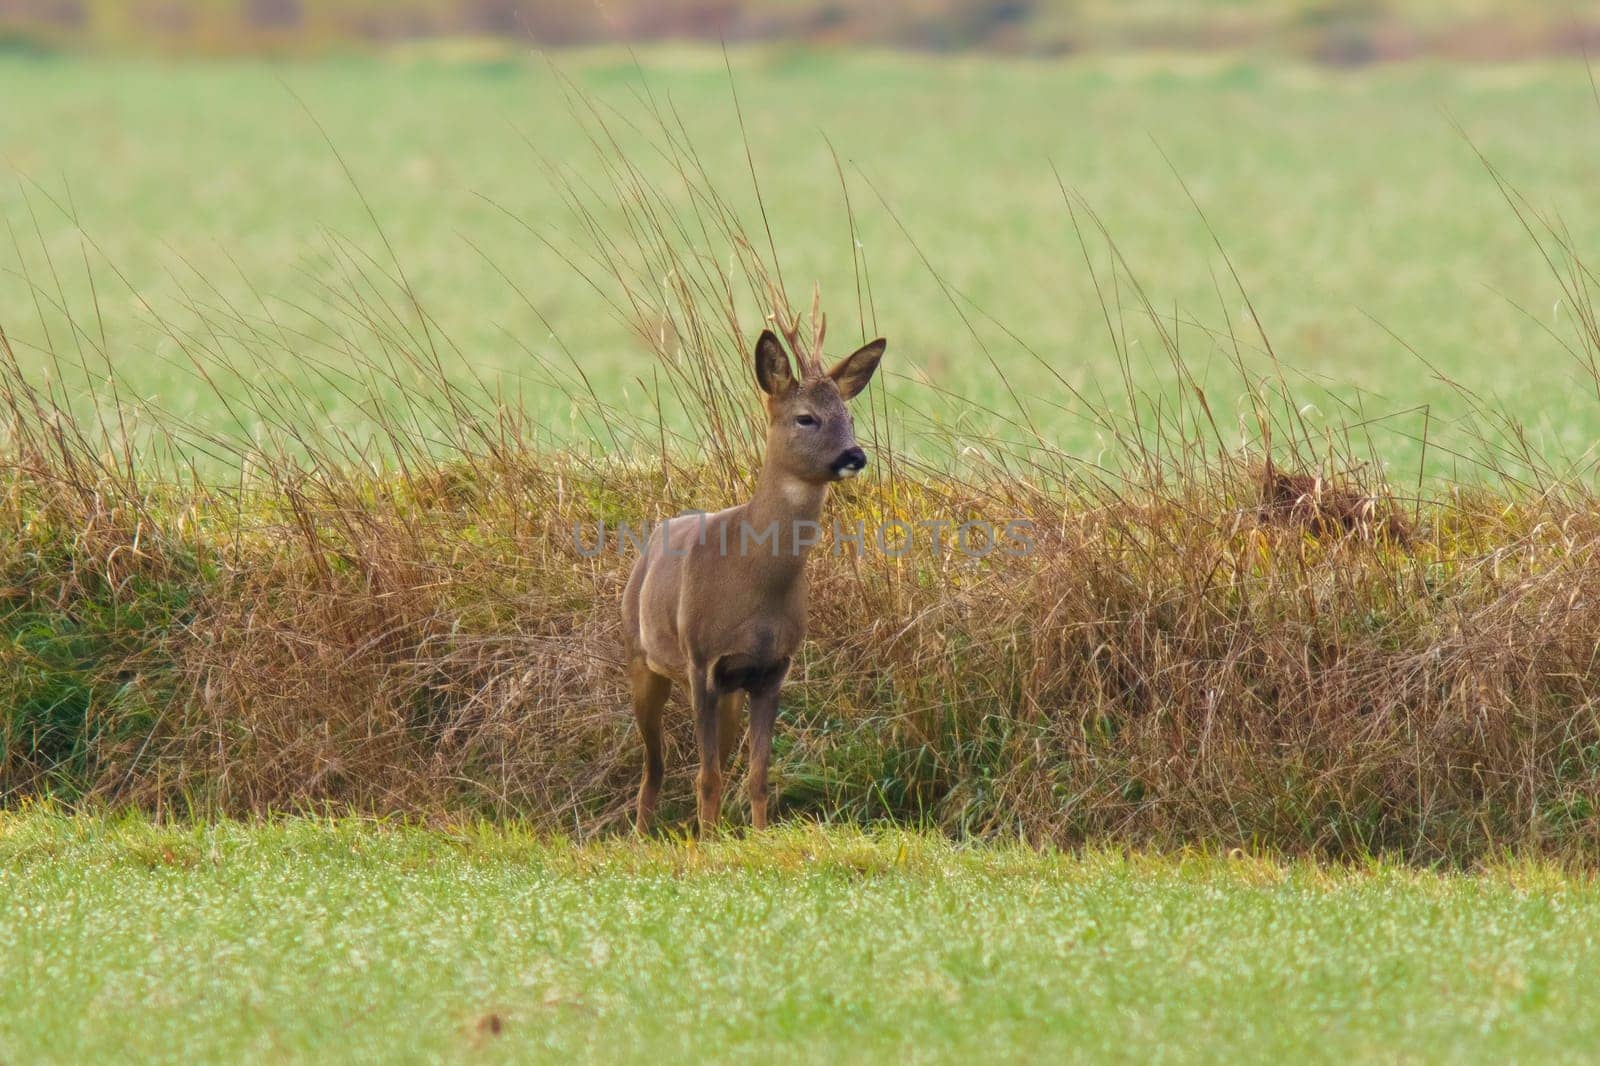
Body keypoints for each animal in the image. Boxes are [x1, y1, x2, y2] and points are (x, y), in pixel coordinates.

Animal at [617, 299, 889, 832]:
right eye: (805, 418)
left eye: (848, 414)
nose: (855, 455)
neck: (753, 580)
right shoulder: (702, 660)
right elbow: (706, 777)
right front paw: (706, 843)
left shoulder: (771, 668)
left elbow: (756, 776)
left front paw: (757, 837)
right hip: (644, 658)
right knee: (653, 769)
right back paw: (644, 834)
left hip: (728, 690)